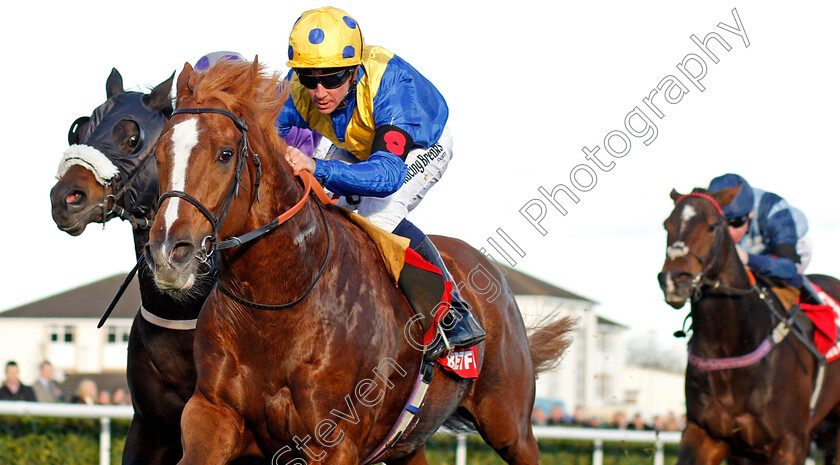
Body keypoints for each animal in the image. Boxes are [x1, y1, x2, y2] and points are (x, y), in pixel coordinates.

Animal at [148, 59, 576, 464]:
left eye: (225, 155)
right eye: (159, 153)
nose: (168, 252)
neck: (276, 304)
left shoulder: (334, 441)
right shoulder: (212, 413)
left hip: (509, 423)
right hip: (408, 442)